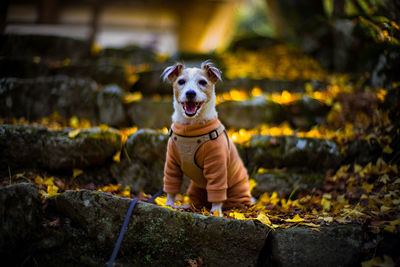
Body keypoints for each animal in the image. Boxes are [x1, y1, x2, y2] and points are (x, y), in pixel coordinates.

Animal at [162, 60, 252, 216]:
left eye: (203, 82)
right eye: (181, 81)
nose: (190, 93)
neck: (190, 129)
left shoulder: (217, 164)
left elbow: (217, 189)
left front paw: (216, 212)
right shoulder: (172, 162)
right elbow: (171, 183)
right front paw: (169, 204)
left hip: (237, 195)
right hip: (195, 189)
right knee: (196, 202)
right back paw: (186, 206)